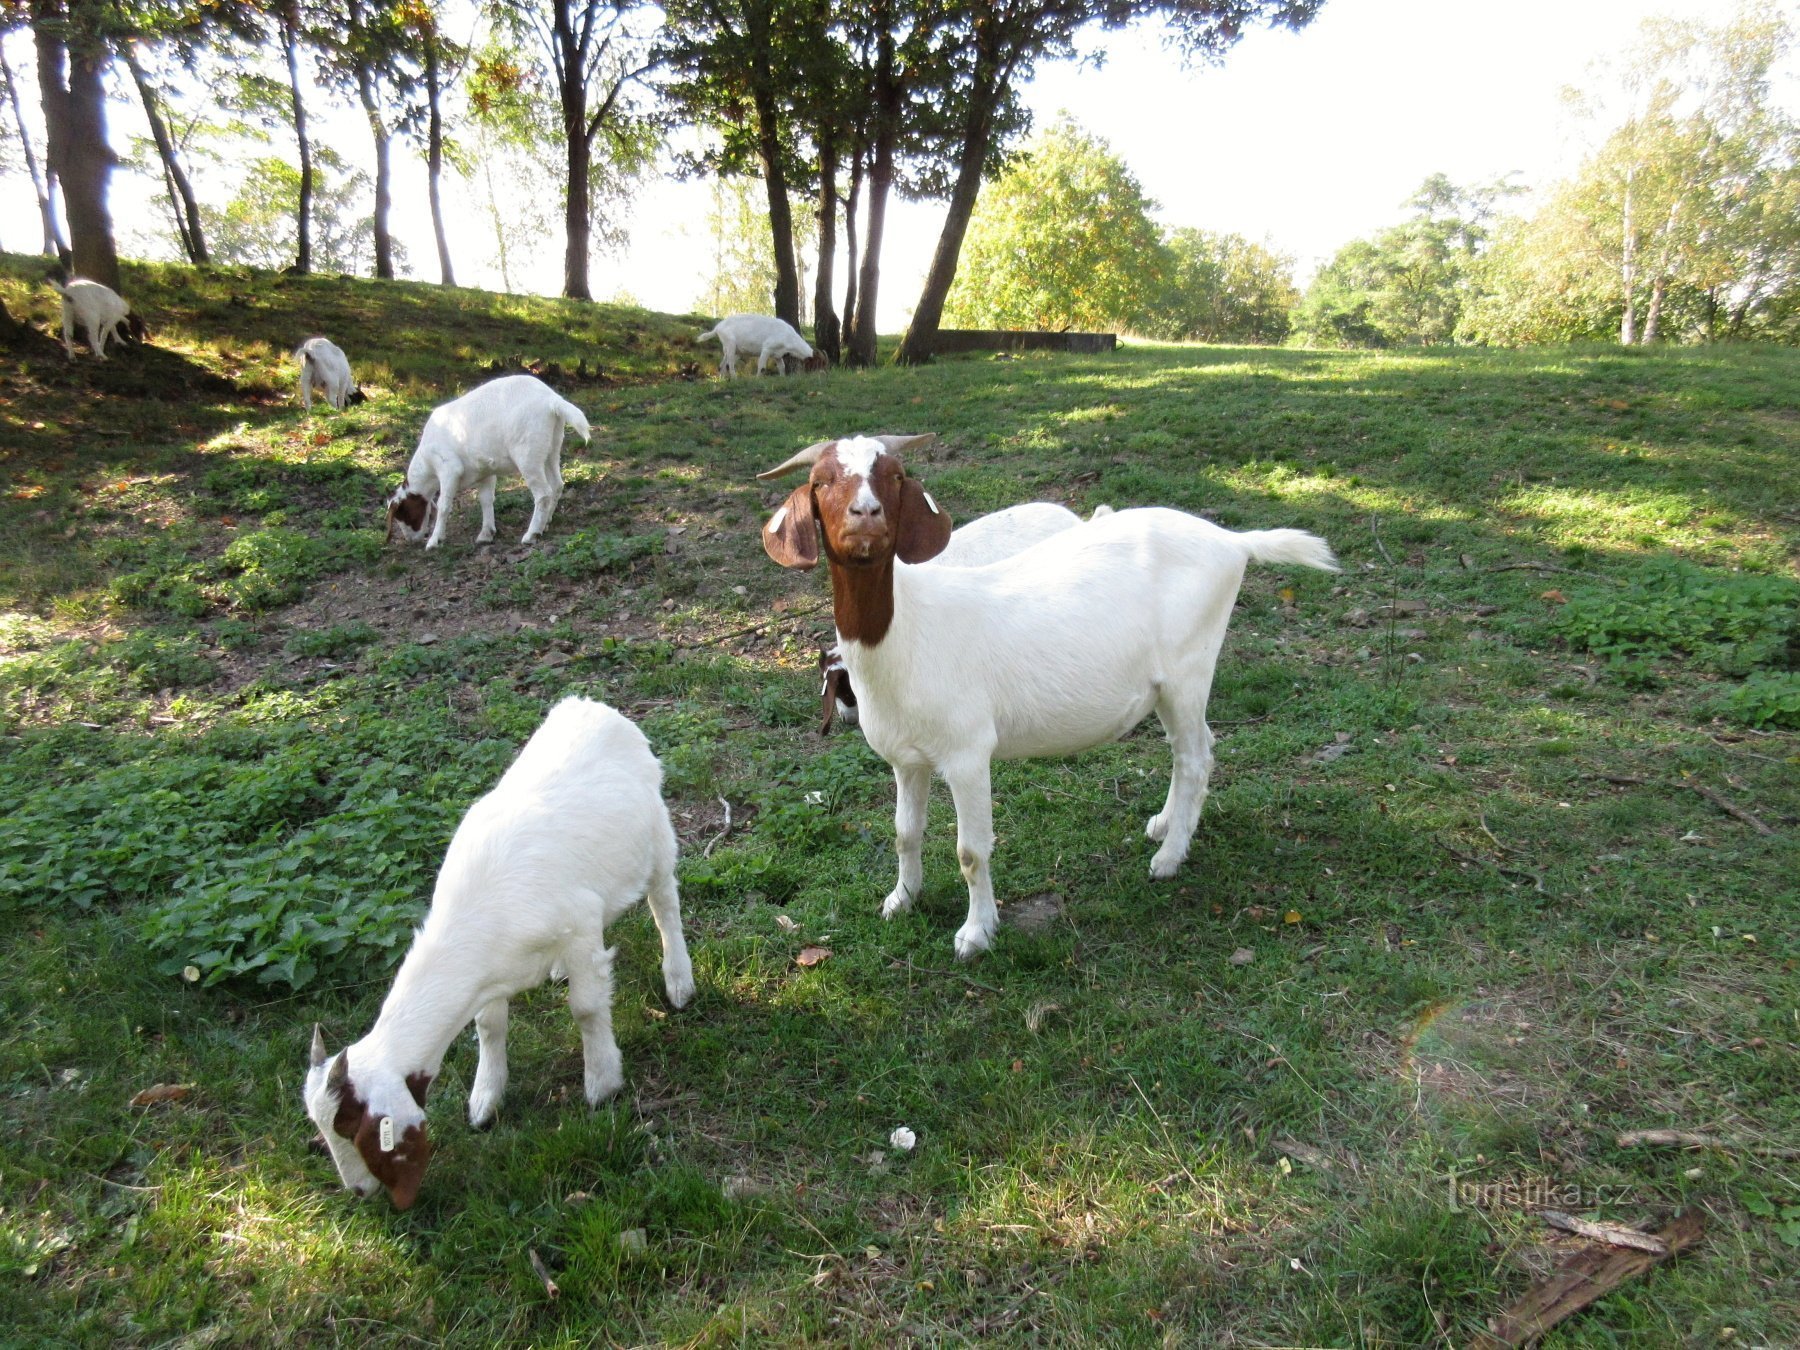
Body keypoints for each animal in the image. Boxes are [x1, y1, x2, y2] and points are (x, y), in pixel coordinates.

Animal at [298, 698, 691, 1216]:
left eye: (351, 1127)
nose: (359, 1192)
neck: (480, 911)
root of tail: (588, 705)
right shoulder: (488, 976)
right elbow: (489, 1025)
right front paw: (485, 1099)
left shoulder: (579, 924)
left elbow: (587, 1009)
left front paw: (602, 1083)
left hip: (657, 839)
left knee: (665, 904)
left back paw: (679, 981)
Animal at [388, 376, 590, 550]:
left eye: (402, 514)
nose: (410, 540)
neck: (426, 465)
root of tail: (552, 400)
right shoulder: (485, 471)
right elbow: (485, 500)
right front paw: (486, 534)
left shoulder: (449, 468)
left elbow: (444, 505)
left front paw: (434, 540)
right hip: (551, 447)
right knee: (557, 485)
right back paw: (545, 523)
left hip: (527, 455)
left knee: (543, 493)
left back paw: (531, 534)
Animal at [759, 435, 1339, 964]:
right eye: (821, 482)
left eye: (896, 477)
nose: (866, 515)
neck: (906, 633)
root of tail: (1233, 540)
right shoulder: (906, 758)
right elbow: (904, 832)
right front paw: (902, 899)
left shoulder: (968, 753)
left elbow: (971, 851)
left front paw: (976, 933)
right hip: (1164, 683)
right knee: (1186, 750)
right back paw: (1163, 825)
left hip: (1189, 669)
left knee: (1196, 755)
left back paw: (1169, 858)